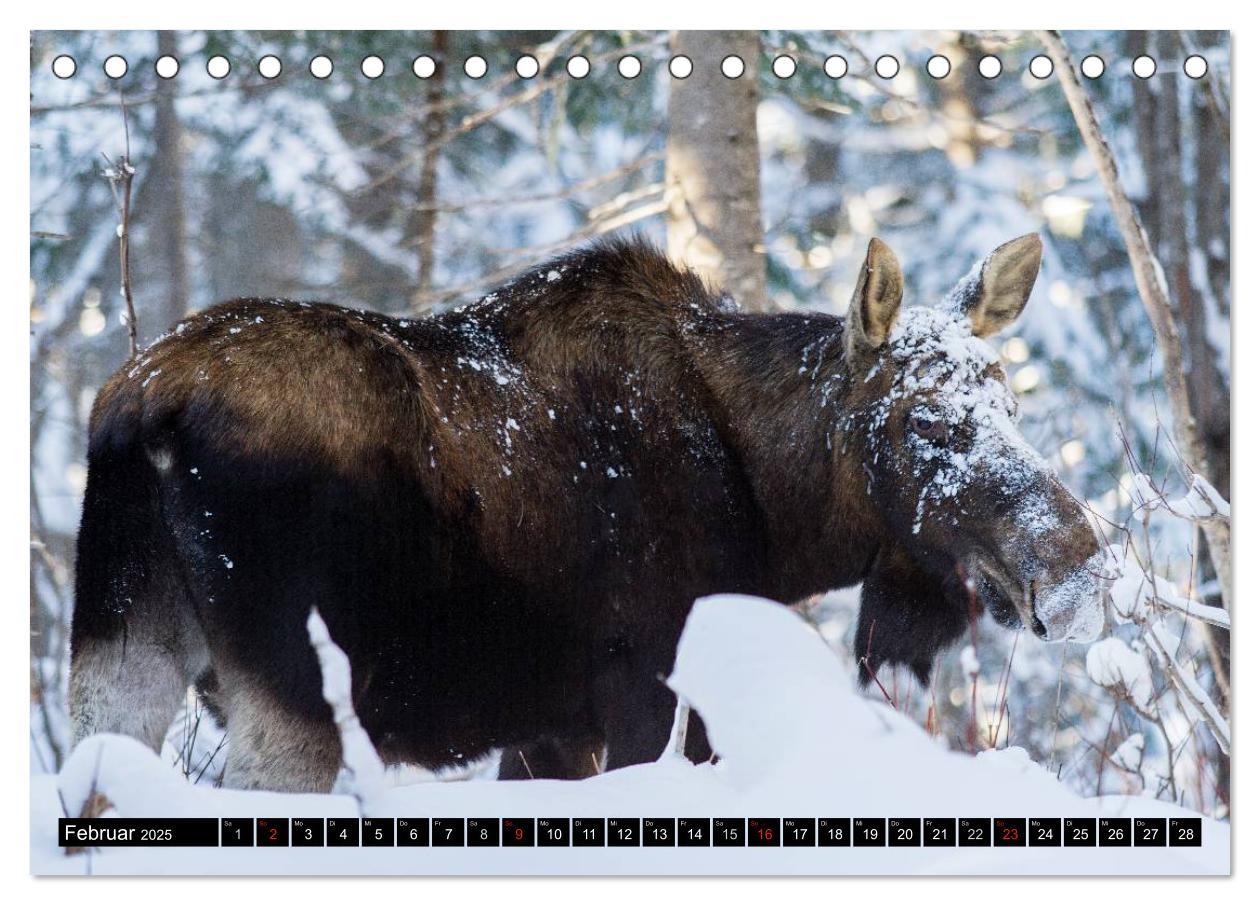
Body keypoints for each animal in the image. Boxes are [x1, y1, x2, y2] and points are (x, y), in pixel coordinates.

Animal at [73, 235, 1108, 796]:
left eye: (1010, 398)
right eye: (926, 418)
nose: (1081, 567)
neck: (781, 516)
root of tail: (140, 408)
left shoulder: (552, 727)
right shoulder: (653, 691)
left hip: (122, 643)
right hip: (296, 691)